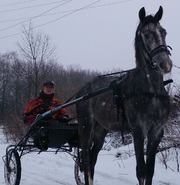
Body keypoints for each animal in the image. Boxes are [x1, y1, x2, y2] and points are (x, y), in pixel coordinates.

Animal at [75, 6, 172, 185]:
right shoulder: (138, 132)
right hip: (86, 126)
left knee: (92, 159)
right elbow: (141, 171)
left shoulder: (156, 133)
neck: (152, 93)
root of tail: (83, 91)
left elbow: (150, 171)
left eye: (163, 31)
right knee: (85, 157)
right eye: (146, 34)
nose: (166, 64)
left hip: (100, 130)